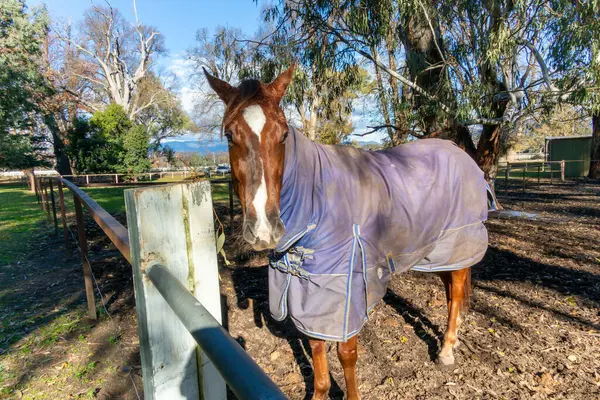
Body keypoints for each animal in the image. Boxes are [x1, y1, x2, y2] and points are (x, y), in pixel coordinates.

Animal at [204, 65, 490, 400]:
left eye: (284, 134)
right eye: (229, 134)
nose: (264, 228)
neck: (317, 201)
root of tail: (459, 152)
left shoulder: (347, 288)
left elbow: (346, 355)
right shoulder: (310, 289)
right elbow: (316, 352)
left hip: (458, 244)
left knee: (456, 292)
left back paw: (446, 350)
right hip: (437, 252)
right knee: (448, 290)